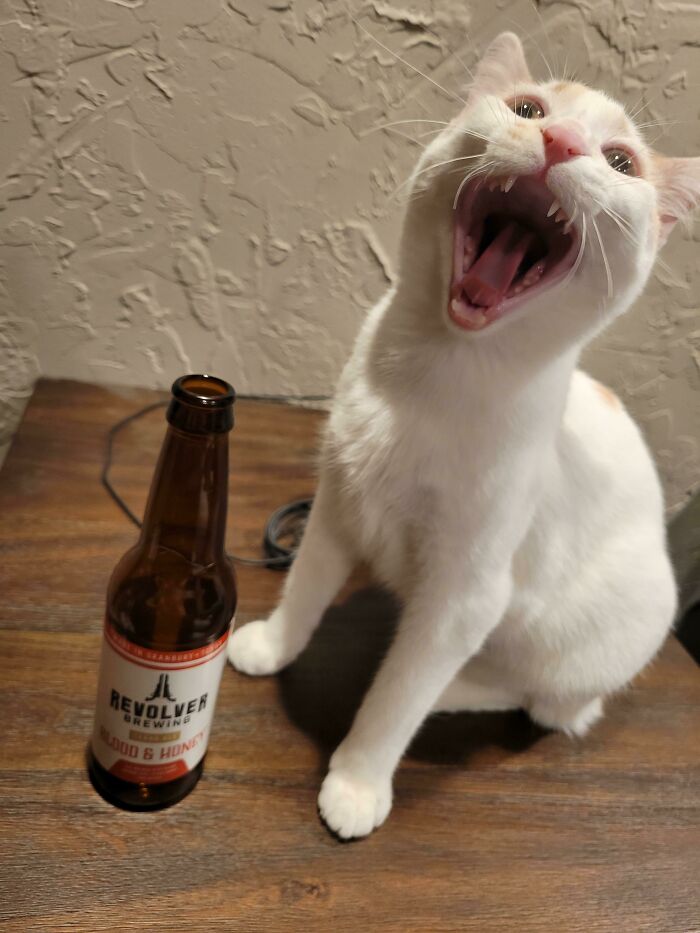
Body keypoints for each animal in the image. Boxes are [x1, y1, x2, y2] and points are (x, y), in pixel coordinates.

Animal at [227, 34, 696, 836]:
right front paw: (274, 642)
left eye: (620, 162)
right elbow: (307, 583)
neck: (432, 374)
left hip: (578, 640)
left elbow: (399, 698)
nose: (560, 141)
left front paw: (358, 779)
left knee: (540, 703)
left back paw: (446, 686)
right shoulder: (337, 501)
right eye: (528, 109)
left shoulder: (465, 593)